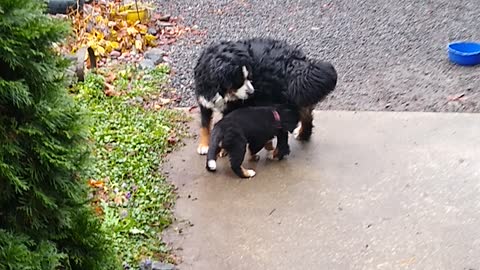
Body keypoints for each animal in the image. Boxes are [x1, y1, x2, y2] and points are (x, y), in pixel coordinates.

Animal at [192, 37, 338, 155]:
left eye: (249, 76)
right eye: (239, 80)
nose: (251, 92)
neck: (219, 90)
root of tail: (294, 62)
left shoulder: (232, 107)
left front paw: (223, 149)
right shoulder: (204, 100)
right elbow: (205, 124)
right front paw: (204, 145)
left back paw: (277, 152)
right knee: (306, 114)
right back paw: (303, 135)